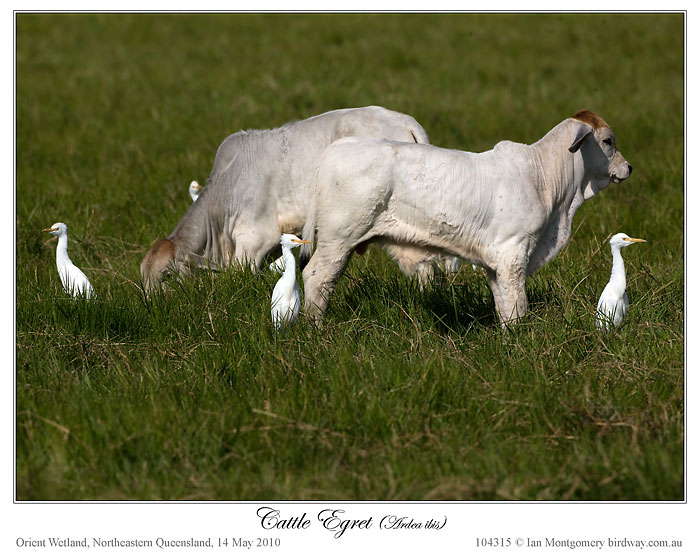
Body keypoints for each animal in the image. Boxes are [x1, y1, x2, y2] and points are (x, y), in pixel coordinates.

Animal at [301, 110, 632, 325]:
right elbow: (517, 305)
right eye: (607, 141)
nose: (628, 168)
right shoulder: (514, 253)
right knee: (317, 277)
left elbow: (504, 308)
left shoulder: (497, 263)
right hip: (338, 239)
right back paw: (315, 328)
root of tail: (339, 148)